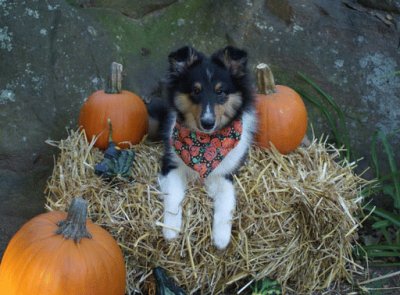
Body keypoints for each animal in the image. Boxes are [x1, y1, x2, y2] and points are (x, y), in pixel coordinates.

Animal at [150, 46, 256, 250]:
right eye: (195, 91)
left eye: (220, 91)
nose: (208, 123)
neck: (204, 143)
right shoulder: (170, 163)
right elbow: (173, 196)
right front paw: (171, 230)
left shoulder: (226, 173)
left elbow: (227, 200)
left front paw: (221, 239)